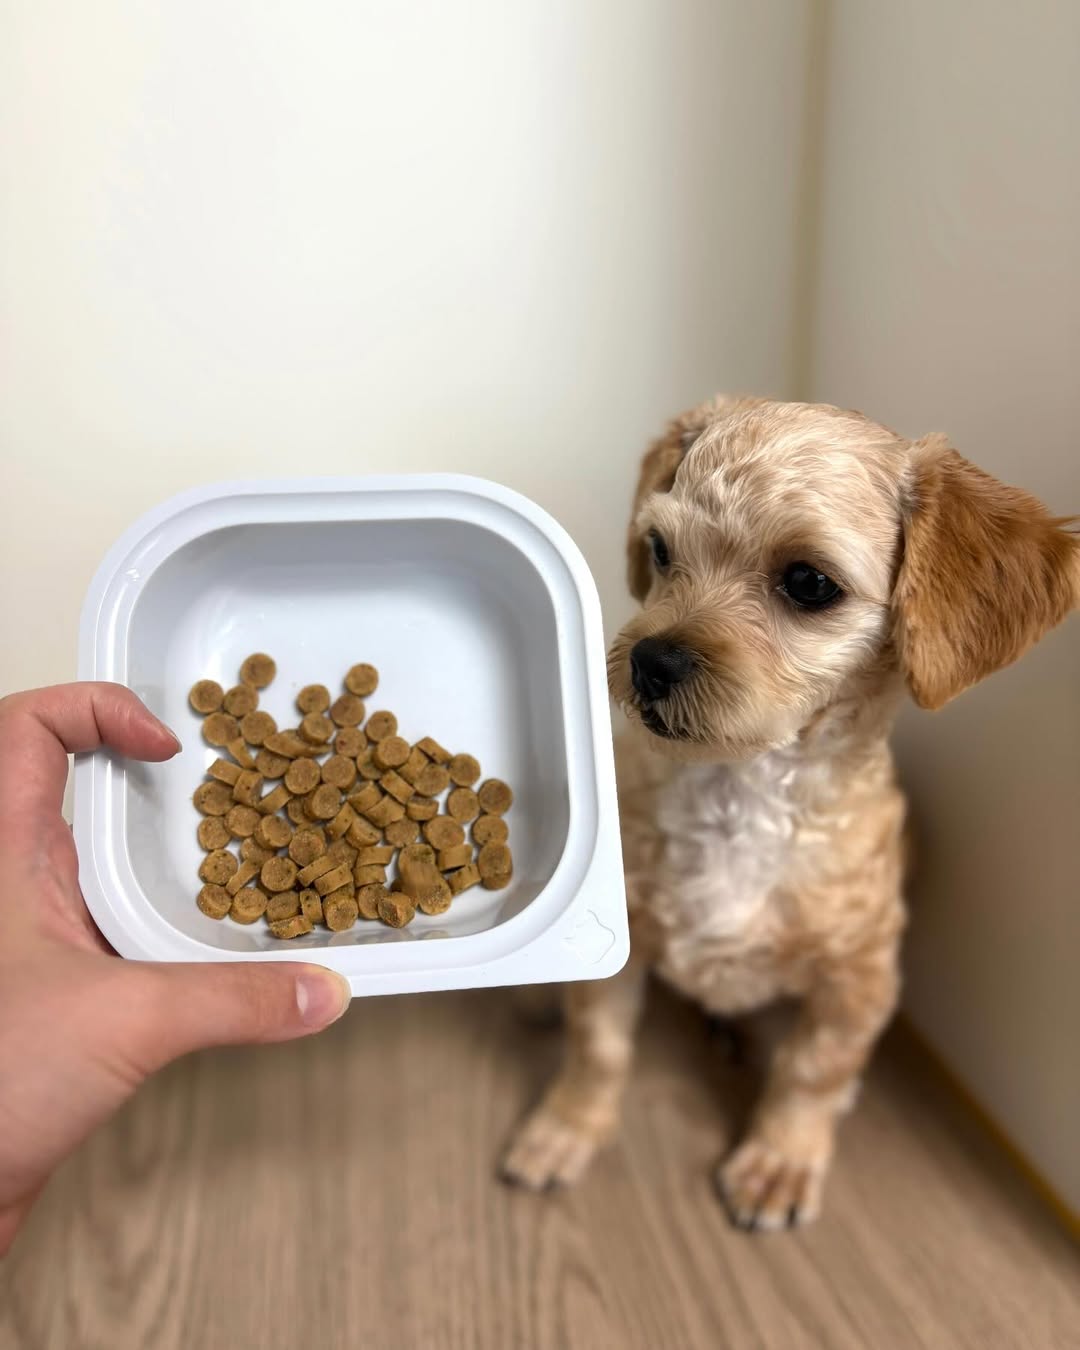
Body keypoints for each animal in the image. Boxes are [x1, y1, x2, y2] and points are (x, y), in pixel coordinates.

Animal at [501, 397, 1079, 1229]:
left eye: (809, 582)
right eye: (660, 549)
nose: (650, 662)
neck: (741, 793)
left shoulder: (859, 980)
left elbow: (812, 1073)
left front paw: (780, 1160)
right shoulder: (627, 941)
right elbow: (598, 1046)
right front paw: (566, 1127)